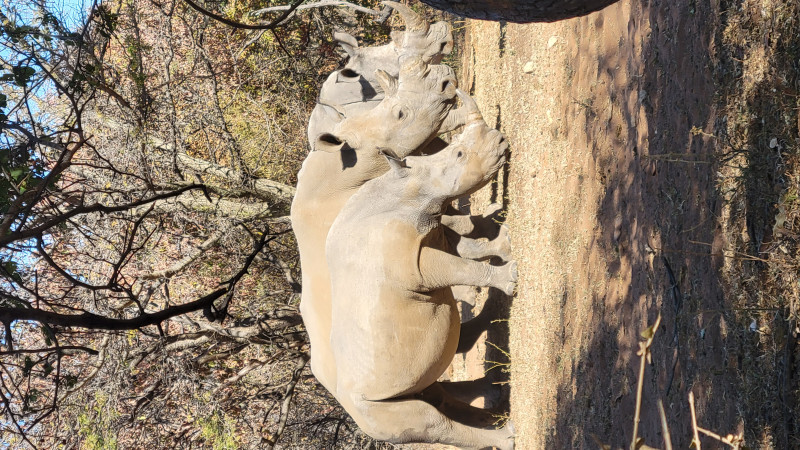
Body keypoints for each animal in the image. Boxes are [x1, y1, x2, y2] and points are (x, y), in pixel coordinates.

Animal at [326, 89, 520, 448]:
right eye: (459, 153)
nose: (501, 141)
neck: (407, 189)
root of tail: (352, 412)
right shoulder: (416, 266)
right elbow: (460, 267)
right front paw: (511, 277)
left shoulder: (433, 230)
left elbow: (469, 250)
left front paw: (505, 244)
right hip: (370, 410)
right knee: (430, 421)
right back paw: (508, 436)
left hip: (383, 388)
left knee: (430, 392)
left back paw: (499, 406)